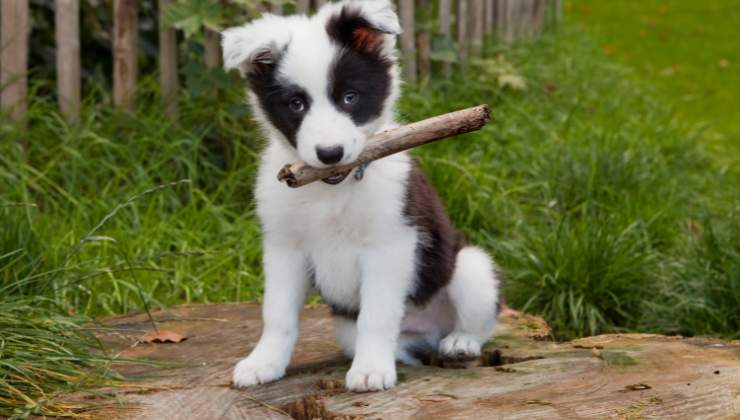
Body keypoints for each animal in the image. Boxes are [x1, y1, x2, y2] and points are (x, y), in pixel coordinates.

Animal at [224, 0, 502, 394]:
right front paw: (263, 363)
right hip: (346, 327)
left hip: (470, 267)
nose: (330, 154)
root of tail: (428, 330)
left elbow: (377, 315)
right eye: (296, 104)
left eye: (349, 97)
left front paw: (370, 370)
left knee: (481, 322)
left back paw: (460, 342)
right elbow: (277, 315)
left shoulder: (390, 244)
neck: (332, 191)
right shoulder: (283, 247)